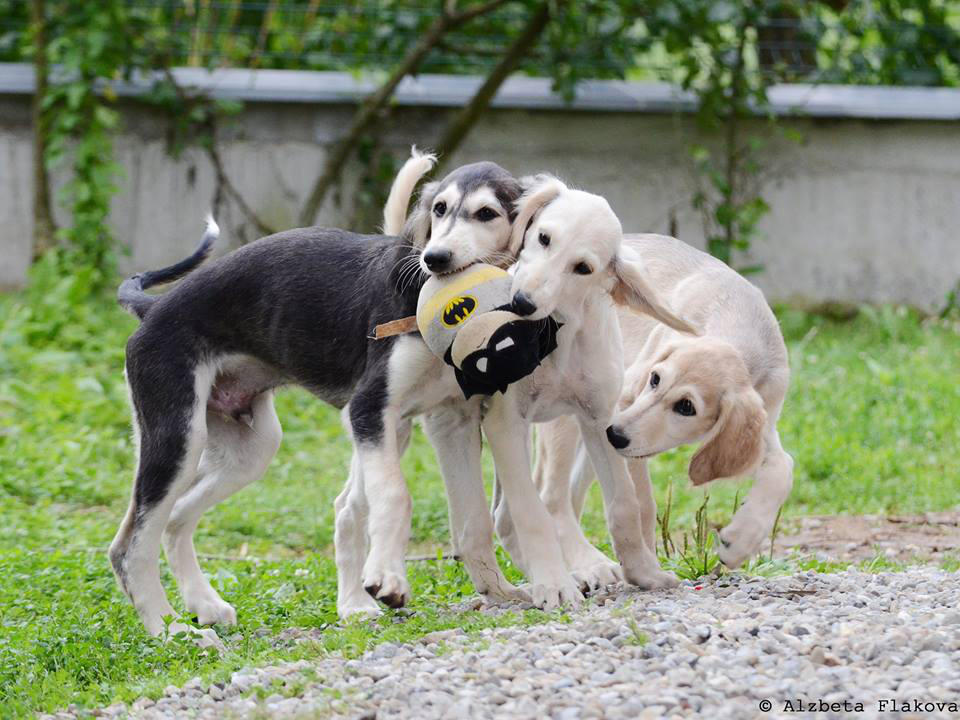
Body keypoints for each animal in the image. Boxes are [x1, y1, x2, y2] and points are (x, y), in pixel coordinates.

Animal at [528, 233, 792, 572]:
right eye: (654, 379)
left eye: (686, 407)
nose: (615, 435)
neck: (738, 327)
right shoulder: (623, 400)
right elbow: (643, 503)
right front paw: (647, 562)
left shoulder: (761, 426)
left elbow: (784, 468)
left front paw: (743, 539)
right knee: (551, 494)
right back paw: (586, 566)